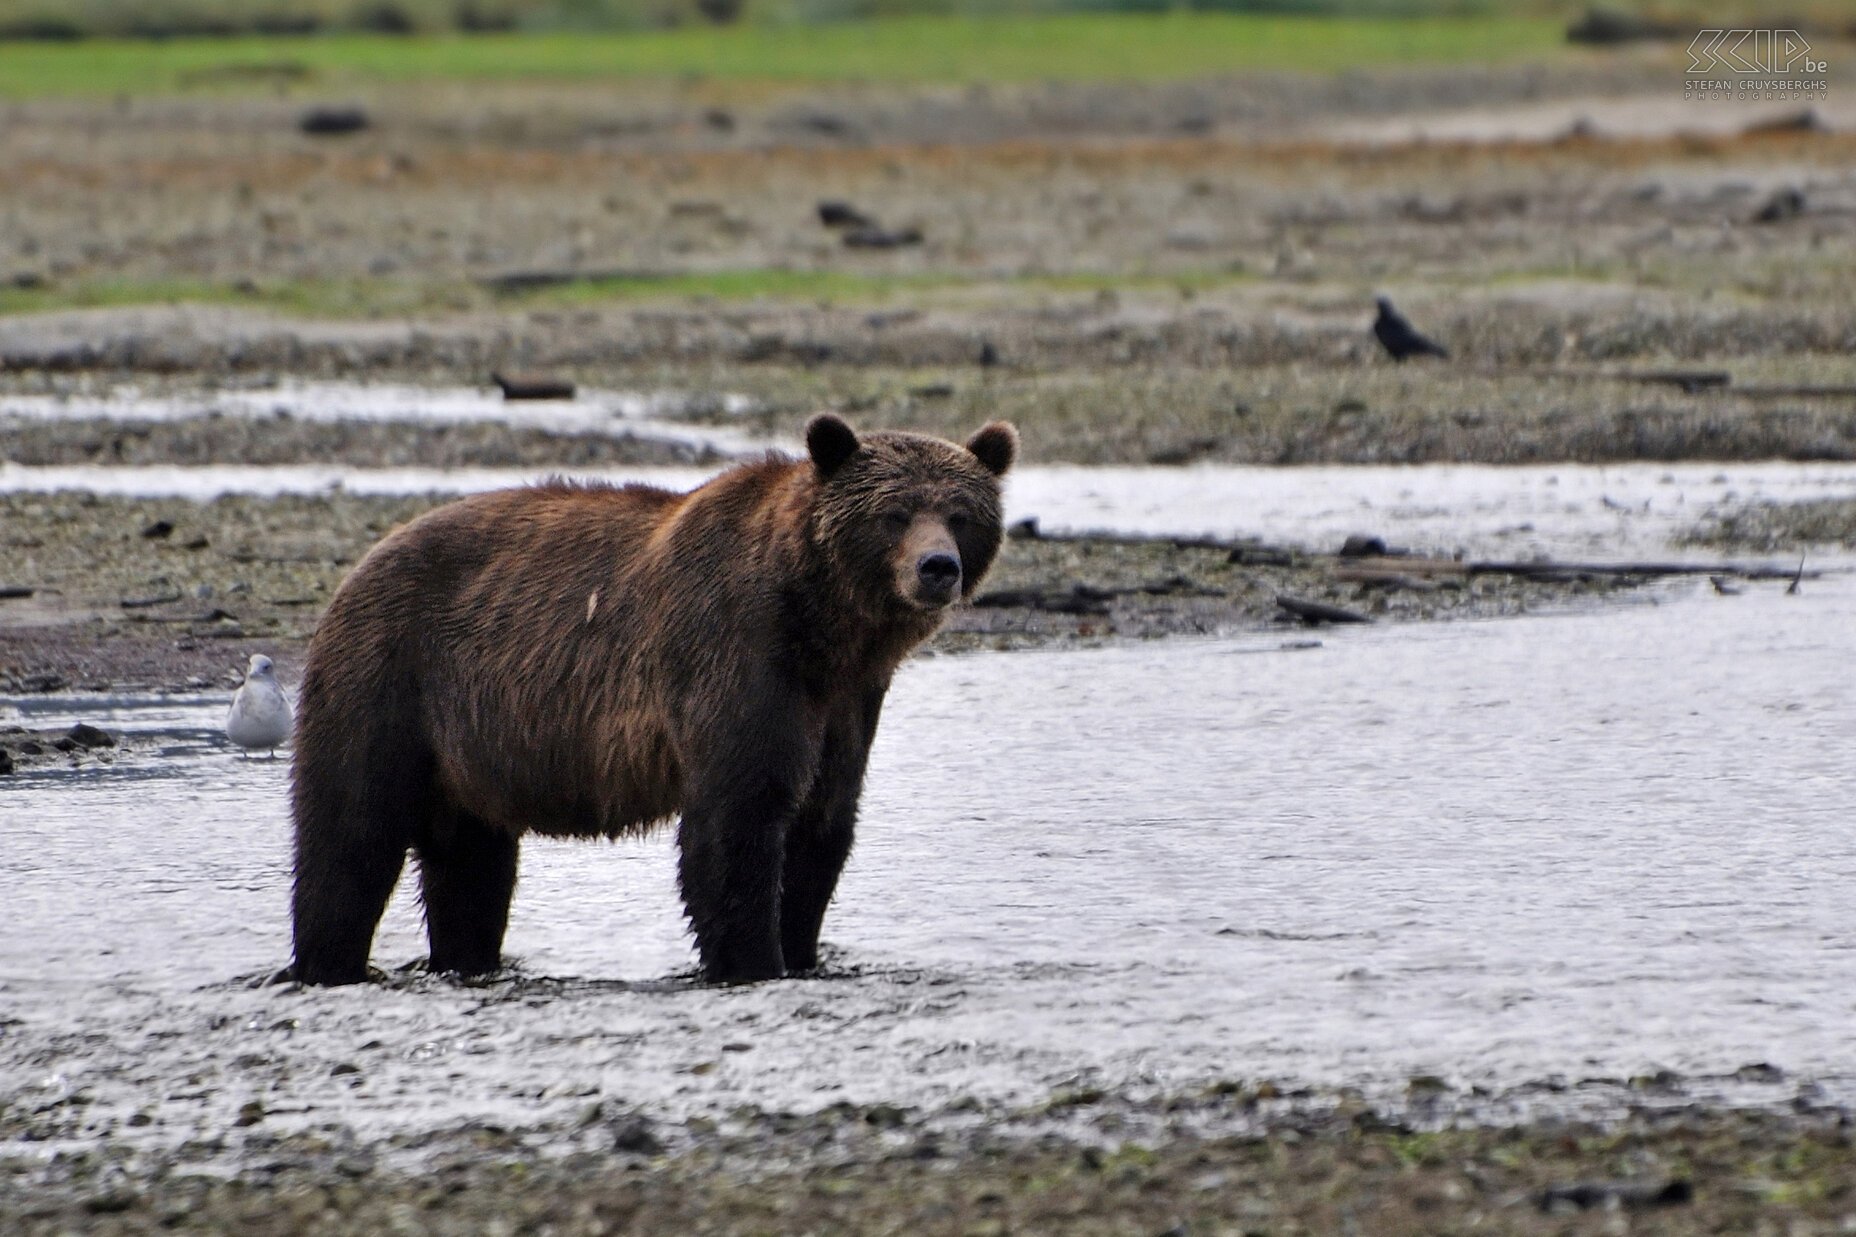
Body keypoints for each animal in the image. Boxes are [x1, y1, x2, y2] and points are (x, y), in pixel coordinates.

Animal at [287, 412, 1017, 980]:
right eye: (894, 513)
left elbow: (822, 822)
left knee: (472, 868)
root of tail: (361, 564)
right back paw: (326, 962)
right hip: (390, 675)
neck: (822, 622)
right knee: (349, 835)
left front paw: (804, 950)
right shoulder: (738, 652)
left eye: (960, 514)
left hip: (470, 750)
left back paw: (467, 958)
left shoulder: (847, 700)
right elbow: (738, 818)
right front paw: (755, 960)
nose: (937, 567)